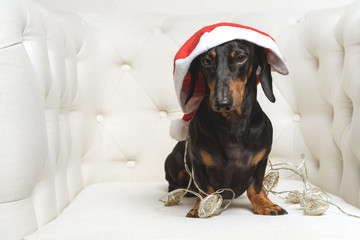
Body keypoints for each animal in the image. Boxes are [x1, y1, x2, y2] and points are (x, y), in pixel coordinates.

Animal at [165, 39, 286, 218]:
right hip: (174, 163)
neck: (232, 123)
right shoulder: (197, 161)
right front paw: (202, 207)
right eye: (206, 61)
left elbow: (255, 187)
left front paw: (266, 204)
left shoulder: (262, 159)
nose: (222, 103)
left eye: (241, 58)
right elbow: (205, 190)